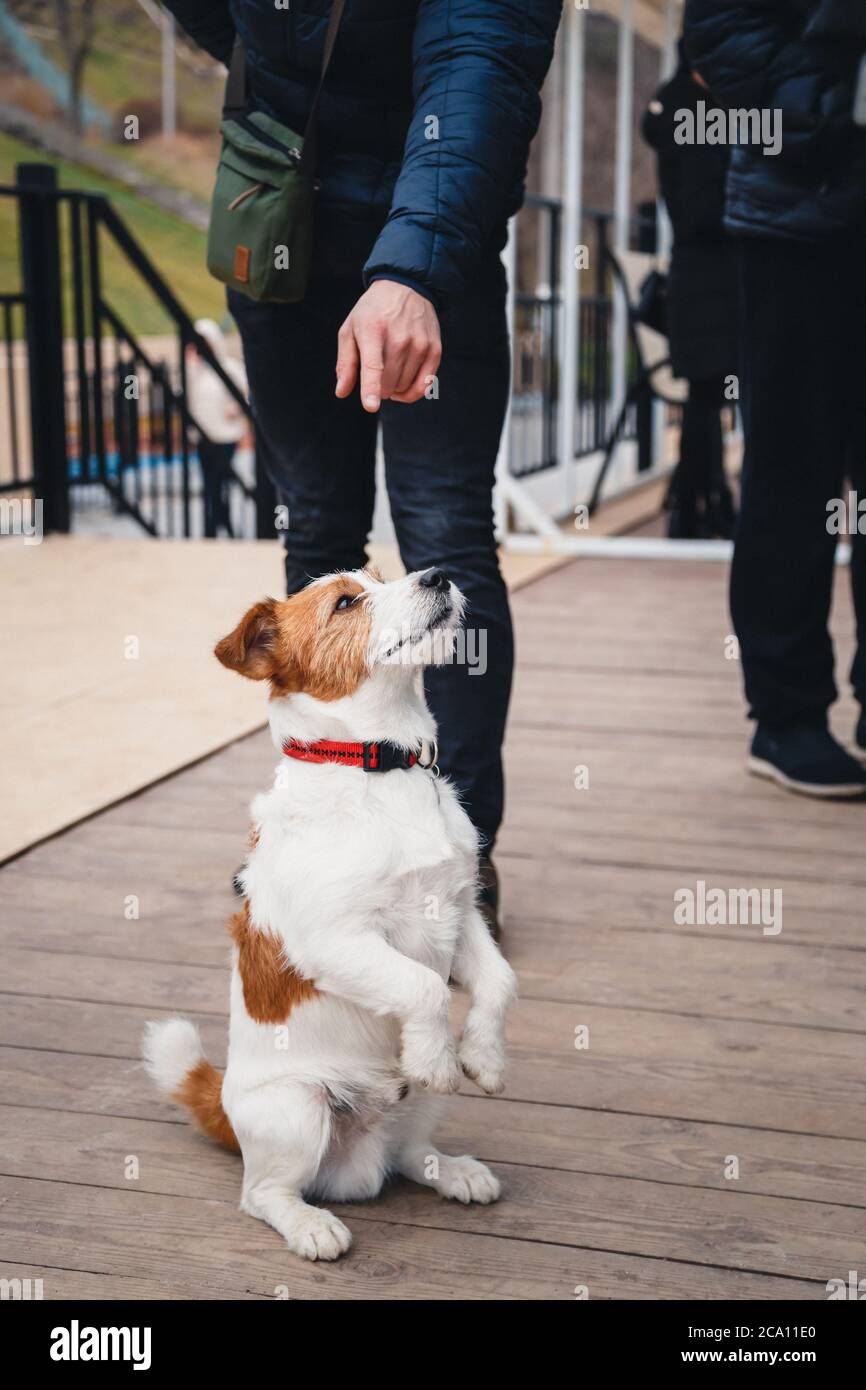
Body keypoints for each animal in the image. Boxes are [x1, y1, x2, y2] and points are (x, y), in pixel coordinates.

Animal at [143, 561, 514, 1262]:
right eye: (346, 602)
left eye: (386, 576)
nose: (439, 574)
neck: (385, 769)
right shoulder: (334, 939)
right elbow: (423, 986)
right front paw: (436, 1053)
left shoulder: (461, 909)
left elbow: (501, 981)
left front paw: (483, 1056)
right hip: (298, 1111)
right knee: (263, 1194)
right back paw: (311, 1225)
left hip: (416, 1112)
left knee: (410, 1154)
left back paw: (453, 1170)